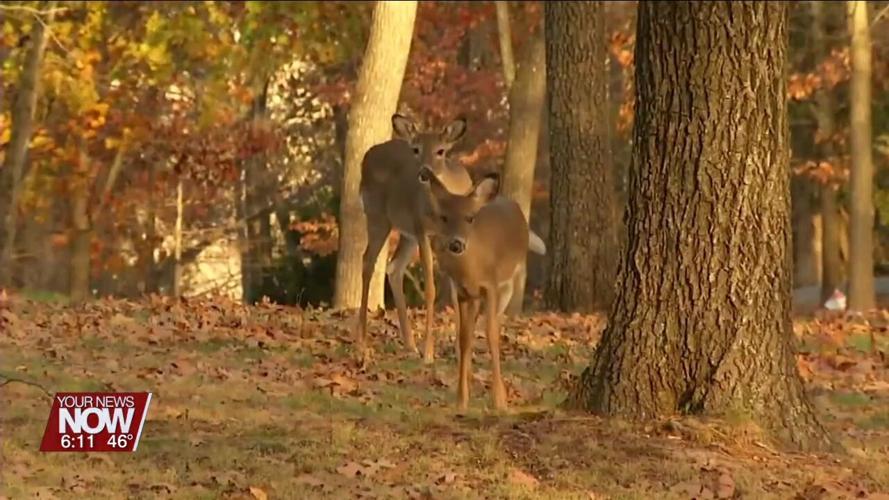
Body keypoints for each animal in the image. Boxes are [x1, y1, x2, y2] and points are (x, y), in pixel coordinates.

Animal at [356, 113, 474, 364]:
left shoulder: (451, 241)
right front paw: (429, 353)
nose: (423, 172)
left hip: (406, 231)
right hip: (378, 215)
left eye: (441, 151)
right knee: (368, 261)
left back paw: (410, 345)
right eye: (416, 149)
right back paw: (362, 341)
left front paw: (460, 352)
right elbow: (430, 288)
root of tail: (367, 156)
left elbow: (454, 291)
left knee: (394, 267)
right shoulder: (423, 233)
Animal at [417, 165, 547, 411]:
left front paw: (499, 400)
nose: (456, 243)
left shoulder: (492, 286)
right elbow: (464, 337)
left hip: (508, 285)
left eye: (470, 218)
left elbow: (492, 335)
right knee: (470, 332)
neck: (473, 268)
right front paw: (461, 399)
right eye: (444, 217)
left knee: (492, 324)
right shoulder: (463, 293)